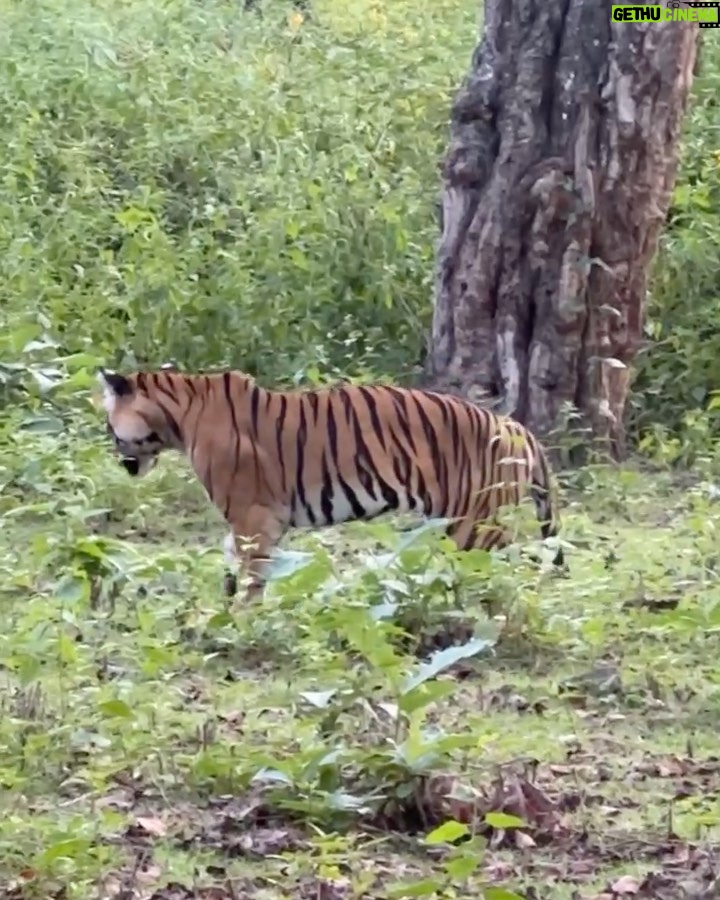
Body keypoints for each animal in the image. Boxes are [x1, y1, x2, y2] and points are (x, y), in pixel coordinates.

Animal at [98, 362, 564, 600]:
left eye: (108, 424)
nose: (119, 459)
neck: (178, 415)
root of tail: (516, 426)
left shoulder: (252, 516)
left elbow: (251, 573)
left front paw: (241, 619)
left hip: (475, 524)